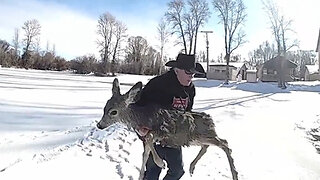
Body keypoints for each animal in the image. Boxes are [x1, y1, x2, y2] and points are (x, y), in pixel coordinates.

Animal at [96, 78, 239, 180]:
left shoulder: (161, 130)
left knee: (225, 143)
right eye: (104, 108)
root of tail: (210, 120)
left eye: (113, 112)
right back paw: (192, 167)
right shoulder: (147, 135)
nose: (99, 125)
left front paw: (161, 163)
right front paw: (141, 175)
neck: (141, 117)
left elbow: (150, 141)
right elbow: (145, 154)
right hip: (197, 138)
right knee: (208, 146)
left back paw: (234, 174)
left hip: (204, 135)